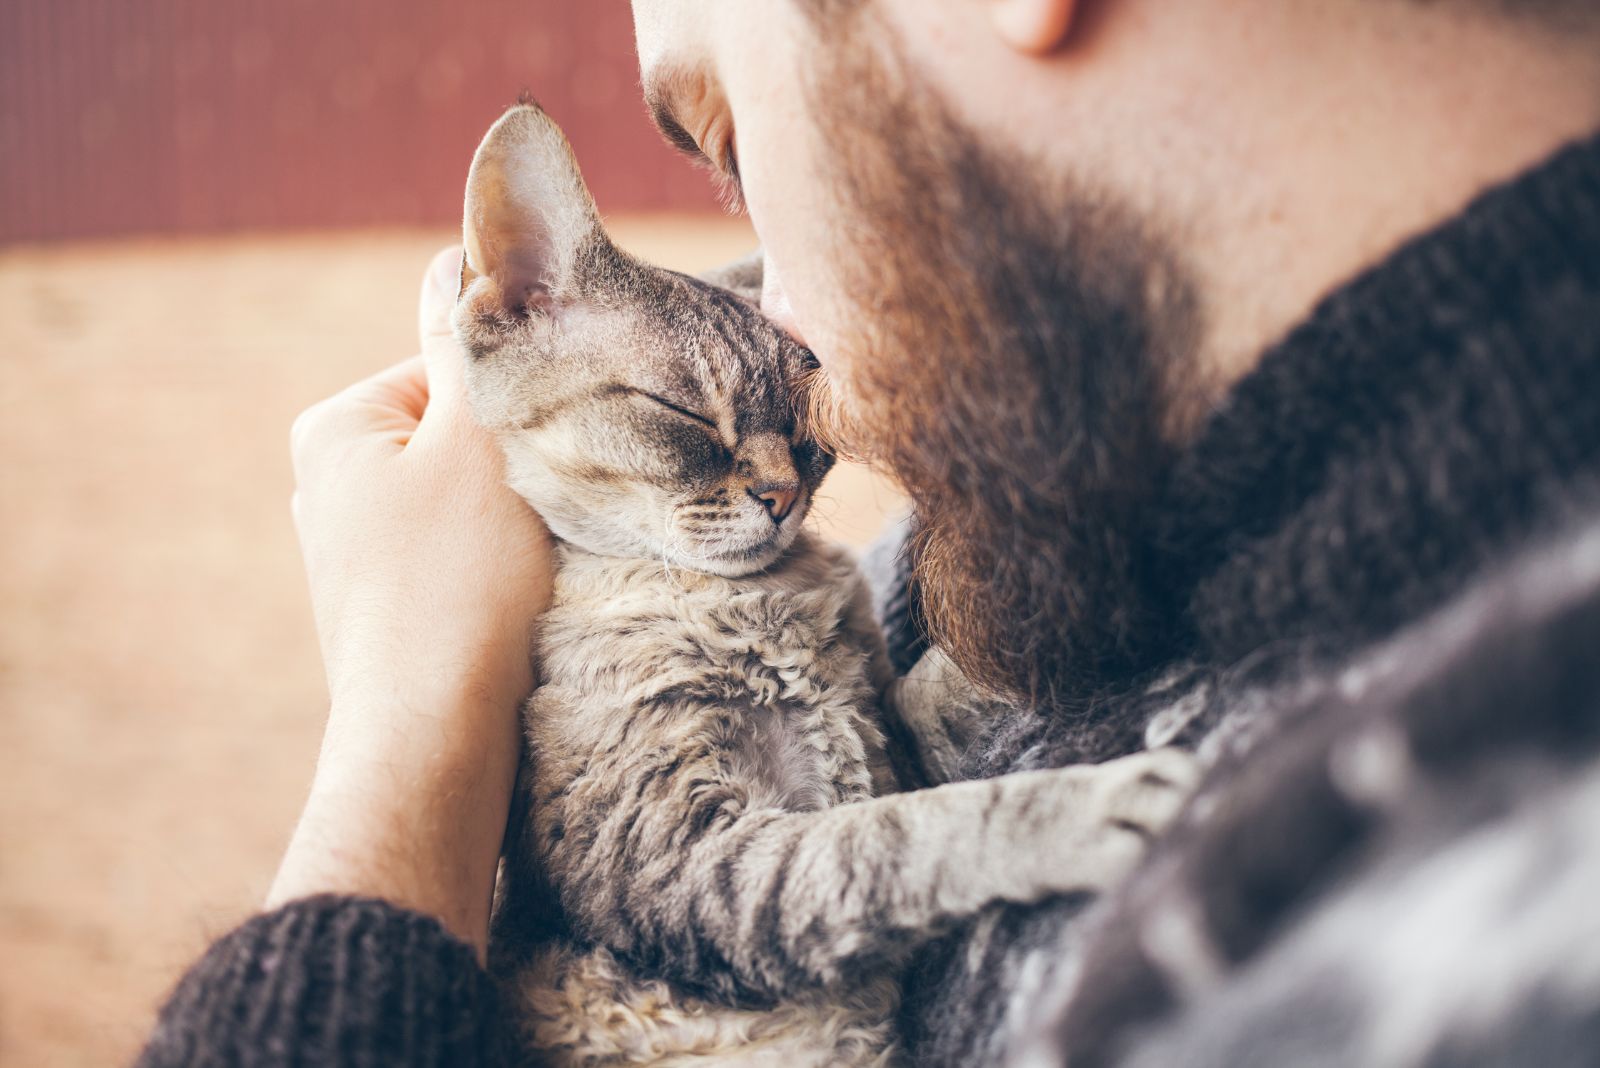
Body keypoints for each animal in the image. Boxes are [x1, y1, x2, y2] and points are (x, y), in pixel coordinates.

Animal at [451, 102, 1203, 1068]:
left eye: (808, 436)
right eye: (685, 413)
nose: (780, 497)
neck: (761, 603)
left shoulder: (881, 740)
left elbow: (925, 691)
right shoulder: (684, 860)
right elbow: (892, 840)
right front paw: (1078, 809)